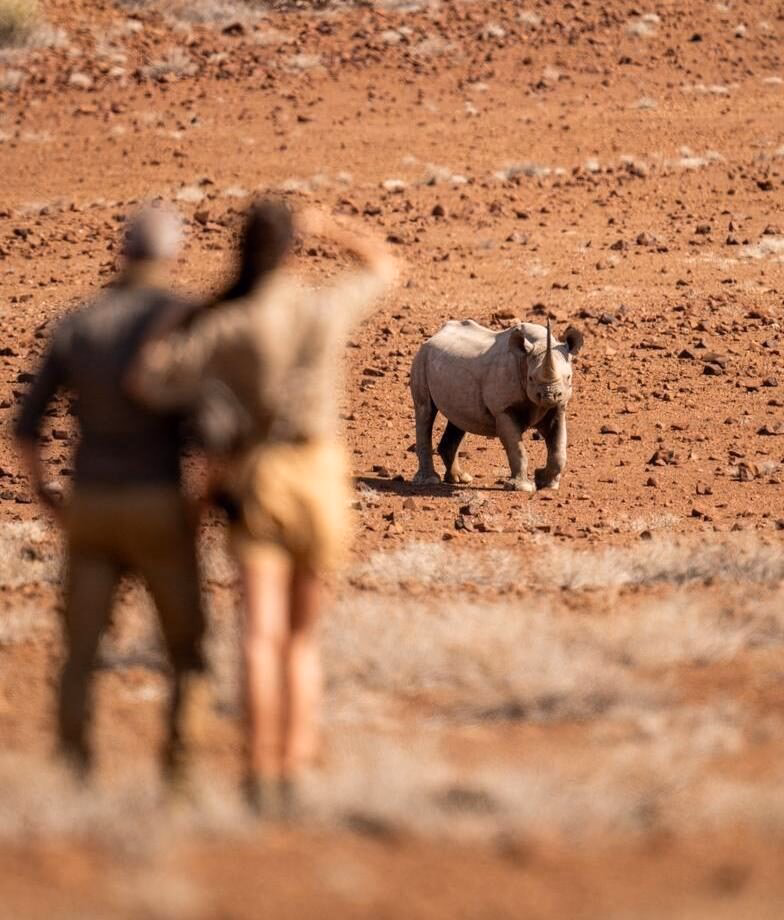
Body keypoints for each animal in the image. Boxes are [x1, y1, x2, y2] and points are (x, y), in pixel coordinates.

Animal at [410, 318, 584, 492]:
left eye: (568, 377)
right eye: (531, 378)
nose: (550, 395)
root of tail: (433, 337)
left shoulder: (557, 408)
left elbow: (559, 450)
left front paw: (545, 483)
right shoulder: (503, 410)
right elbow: (517, 449)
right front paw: (522, 488)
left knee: (458, 419)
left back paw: (460, 479)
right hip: (421, 358)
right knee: (425, 411)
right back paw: (430, 481)